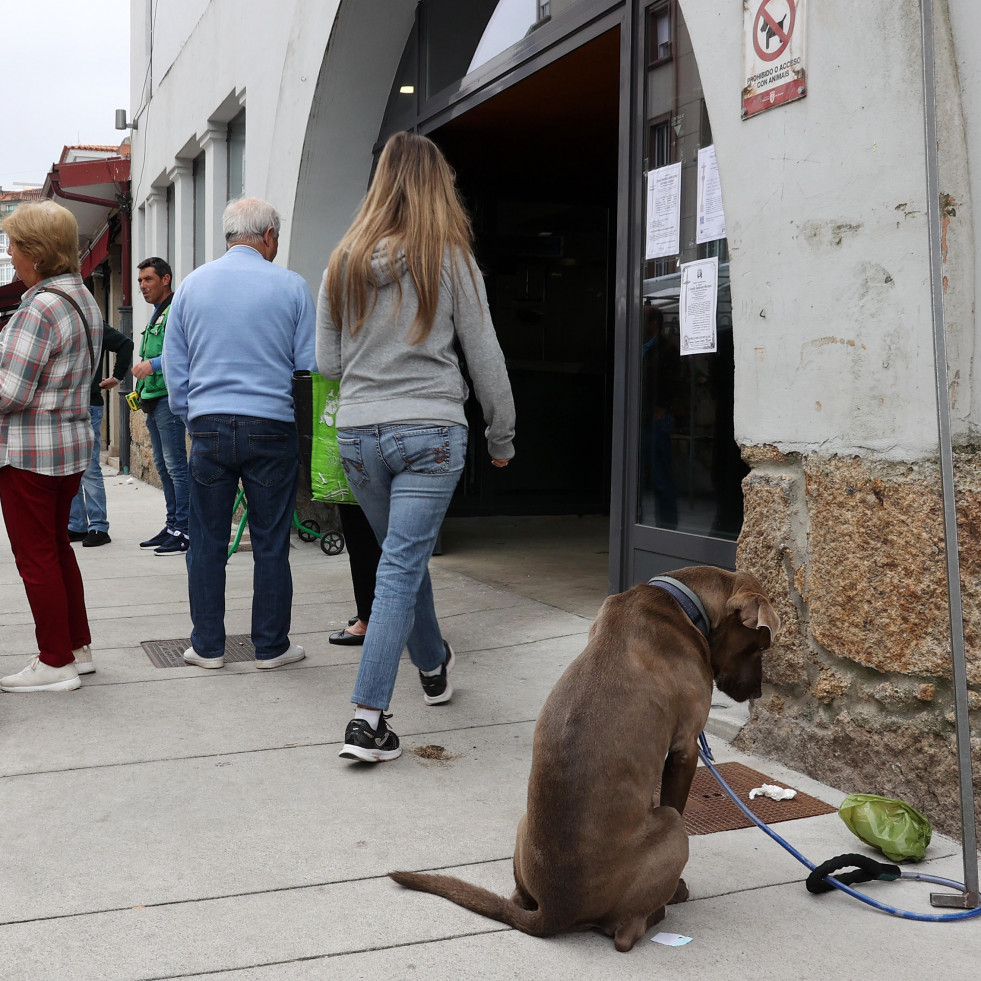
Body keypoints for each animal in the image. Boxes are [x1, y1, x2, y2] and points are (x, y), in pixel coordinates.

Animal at [390, 568, 780, 948]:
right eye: (759, 647)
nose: (758, 692)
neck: (681, 601)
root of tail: (553, 912)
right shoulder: (685, 749)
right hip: (670, 827)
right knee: (626, 935)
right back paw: (667, 902)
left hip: (523, 824)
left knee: (518, 898)